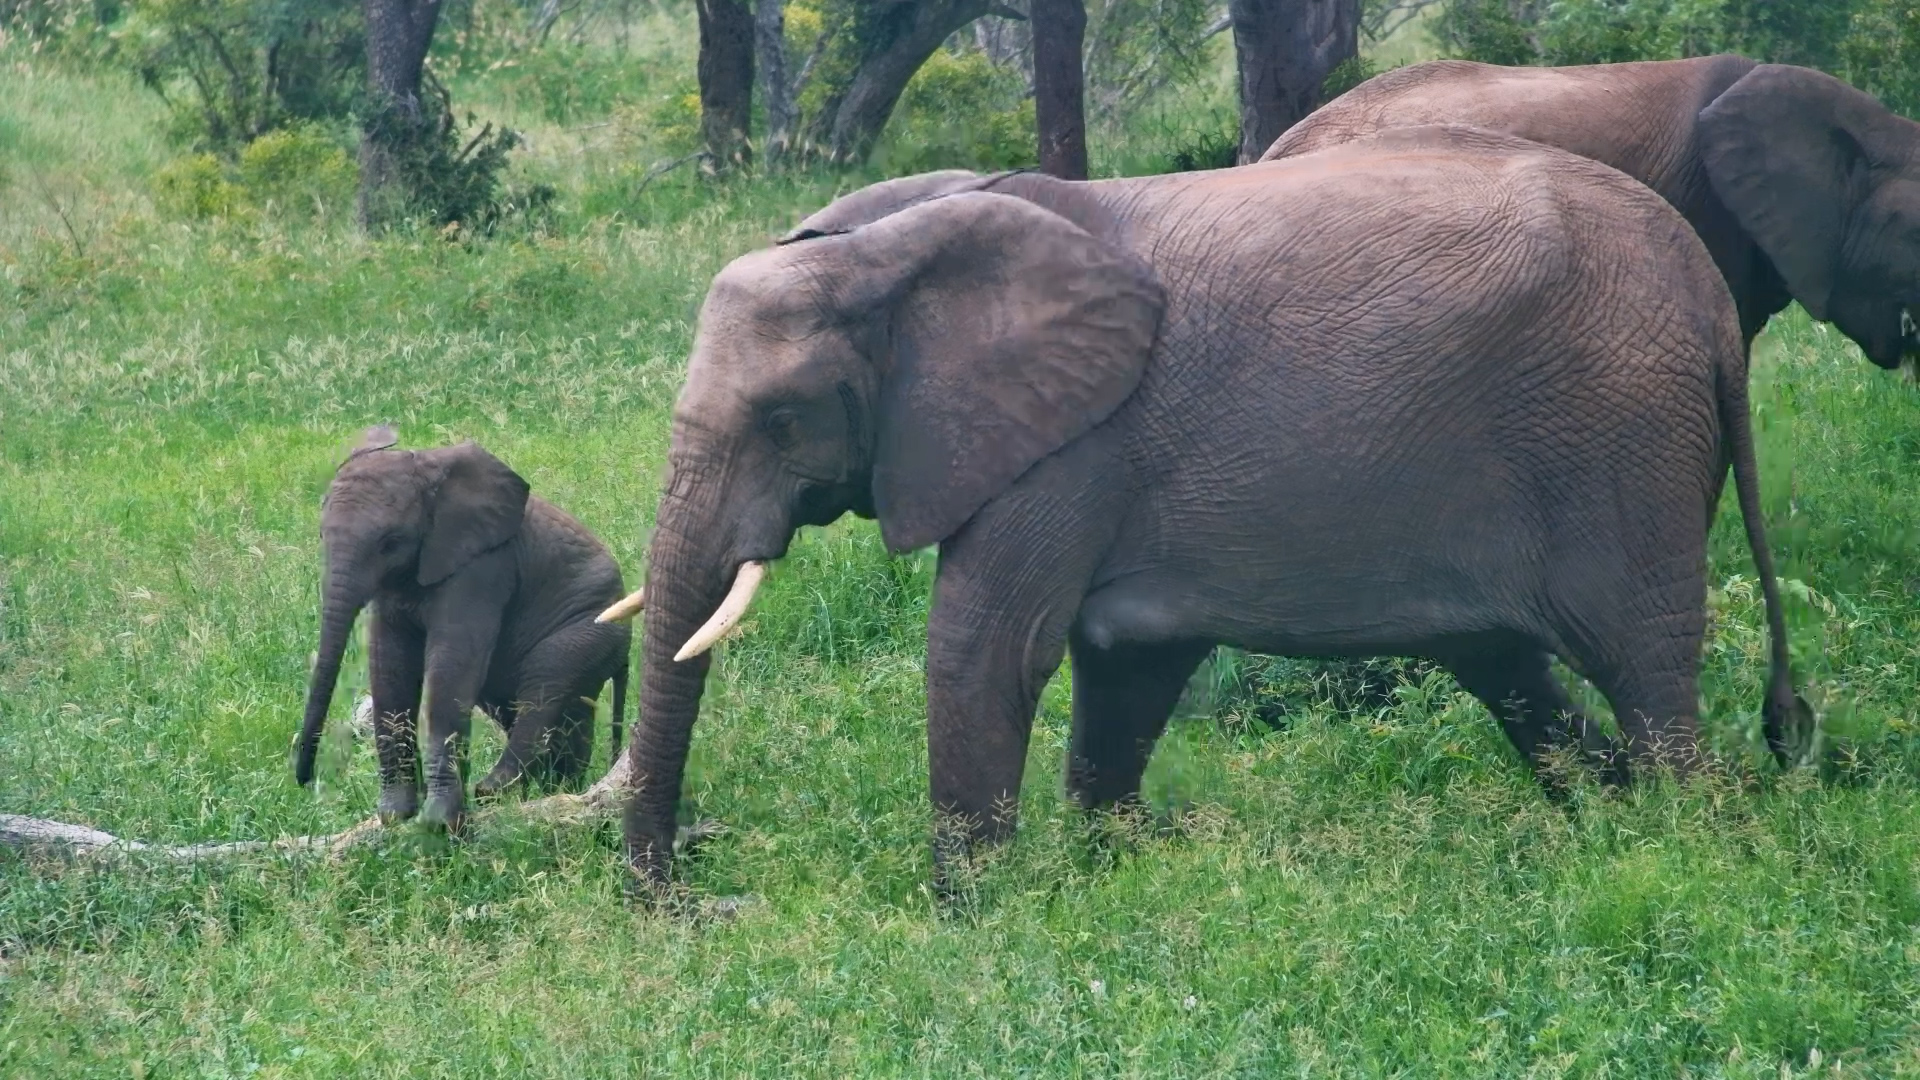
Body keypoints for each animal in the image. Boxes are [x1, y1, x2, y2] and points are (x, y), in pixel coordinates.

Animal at [294, 427, 632, 831]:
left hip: (589, 629)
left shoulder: (483, 568)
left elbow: (450, 668)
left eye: (390, 542)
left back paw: (493, 791)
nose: (306, 780)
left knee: (546, 680)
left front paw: (437, 823)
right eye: (320, 536)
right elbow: (388, 666)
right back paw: (555, 791)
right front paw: (395, 816)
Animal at [600, 126, 1805, 893]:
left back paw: (1684, 849)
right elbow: (1125, 663)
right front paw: (1103, 881)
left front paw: (968, 919)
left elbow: (987, 648)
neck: (884, 248)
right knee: (1513, 672)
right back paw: (1611, 819)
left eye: (783, 419)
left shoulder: (1075, 444)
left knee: (1644, 669)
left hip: (1622, 443)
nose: (695, 892)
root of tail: (1705, 289)